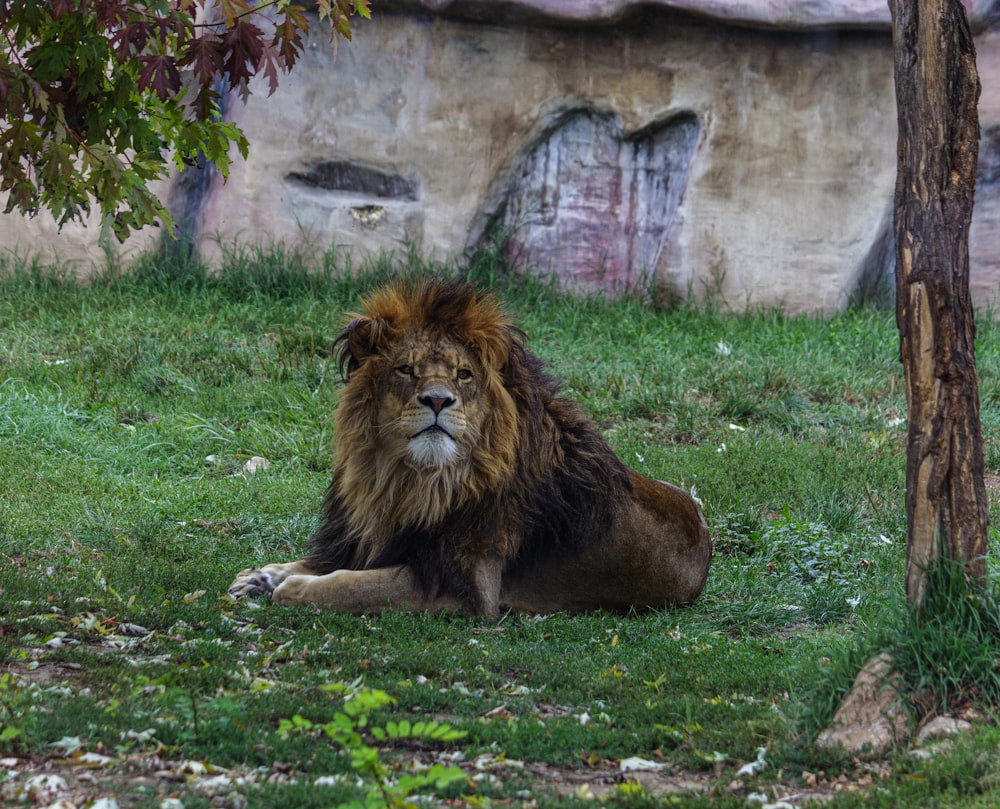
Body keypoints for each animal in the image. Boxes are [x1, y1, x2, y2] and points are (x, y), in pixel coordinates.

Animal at [227, 278, 712, 612]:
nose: (439, 400)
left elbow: (358, 584)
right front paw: (263, 575)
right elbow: (322, 560)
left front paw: (293, 588)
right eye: (406, 369)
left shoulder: (465, 586)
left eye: (463, 375)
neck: (410, 480)